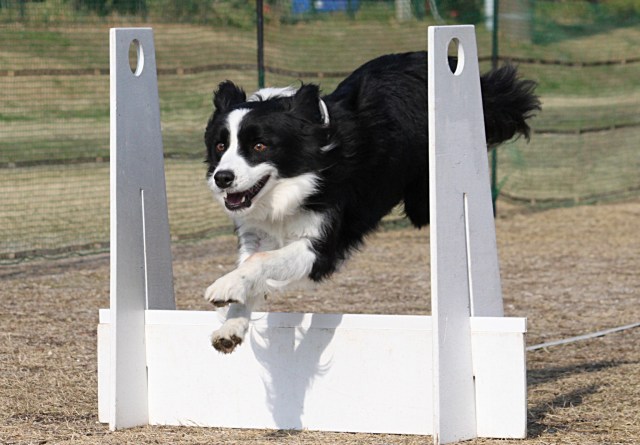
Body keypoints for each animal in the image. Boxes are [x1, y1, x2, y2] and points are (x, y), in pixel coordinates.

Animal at [205, 51, 540, 350]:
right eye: (220, 146)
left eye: (260, 146)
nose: (222, 178)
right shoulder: (257, 233)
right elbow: (253, 263)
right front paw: (232, 324)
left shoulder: (321, 246)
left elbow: (261, 261)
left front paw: (224, 286)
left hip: (424, 199)